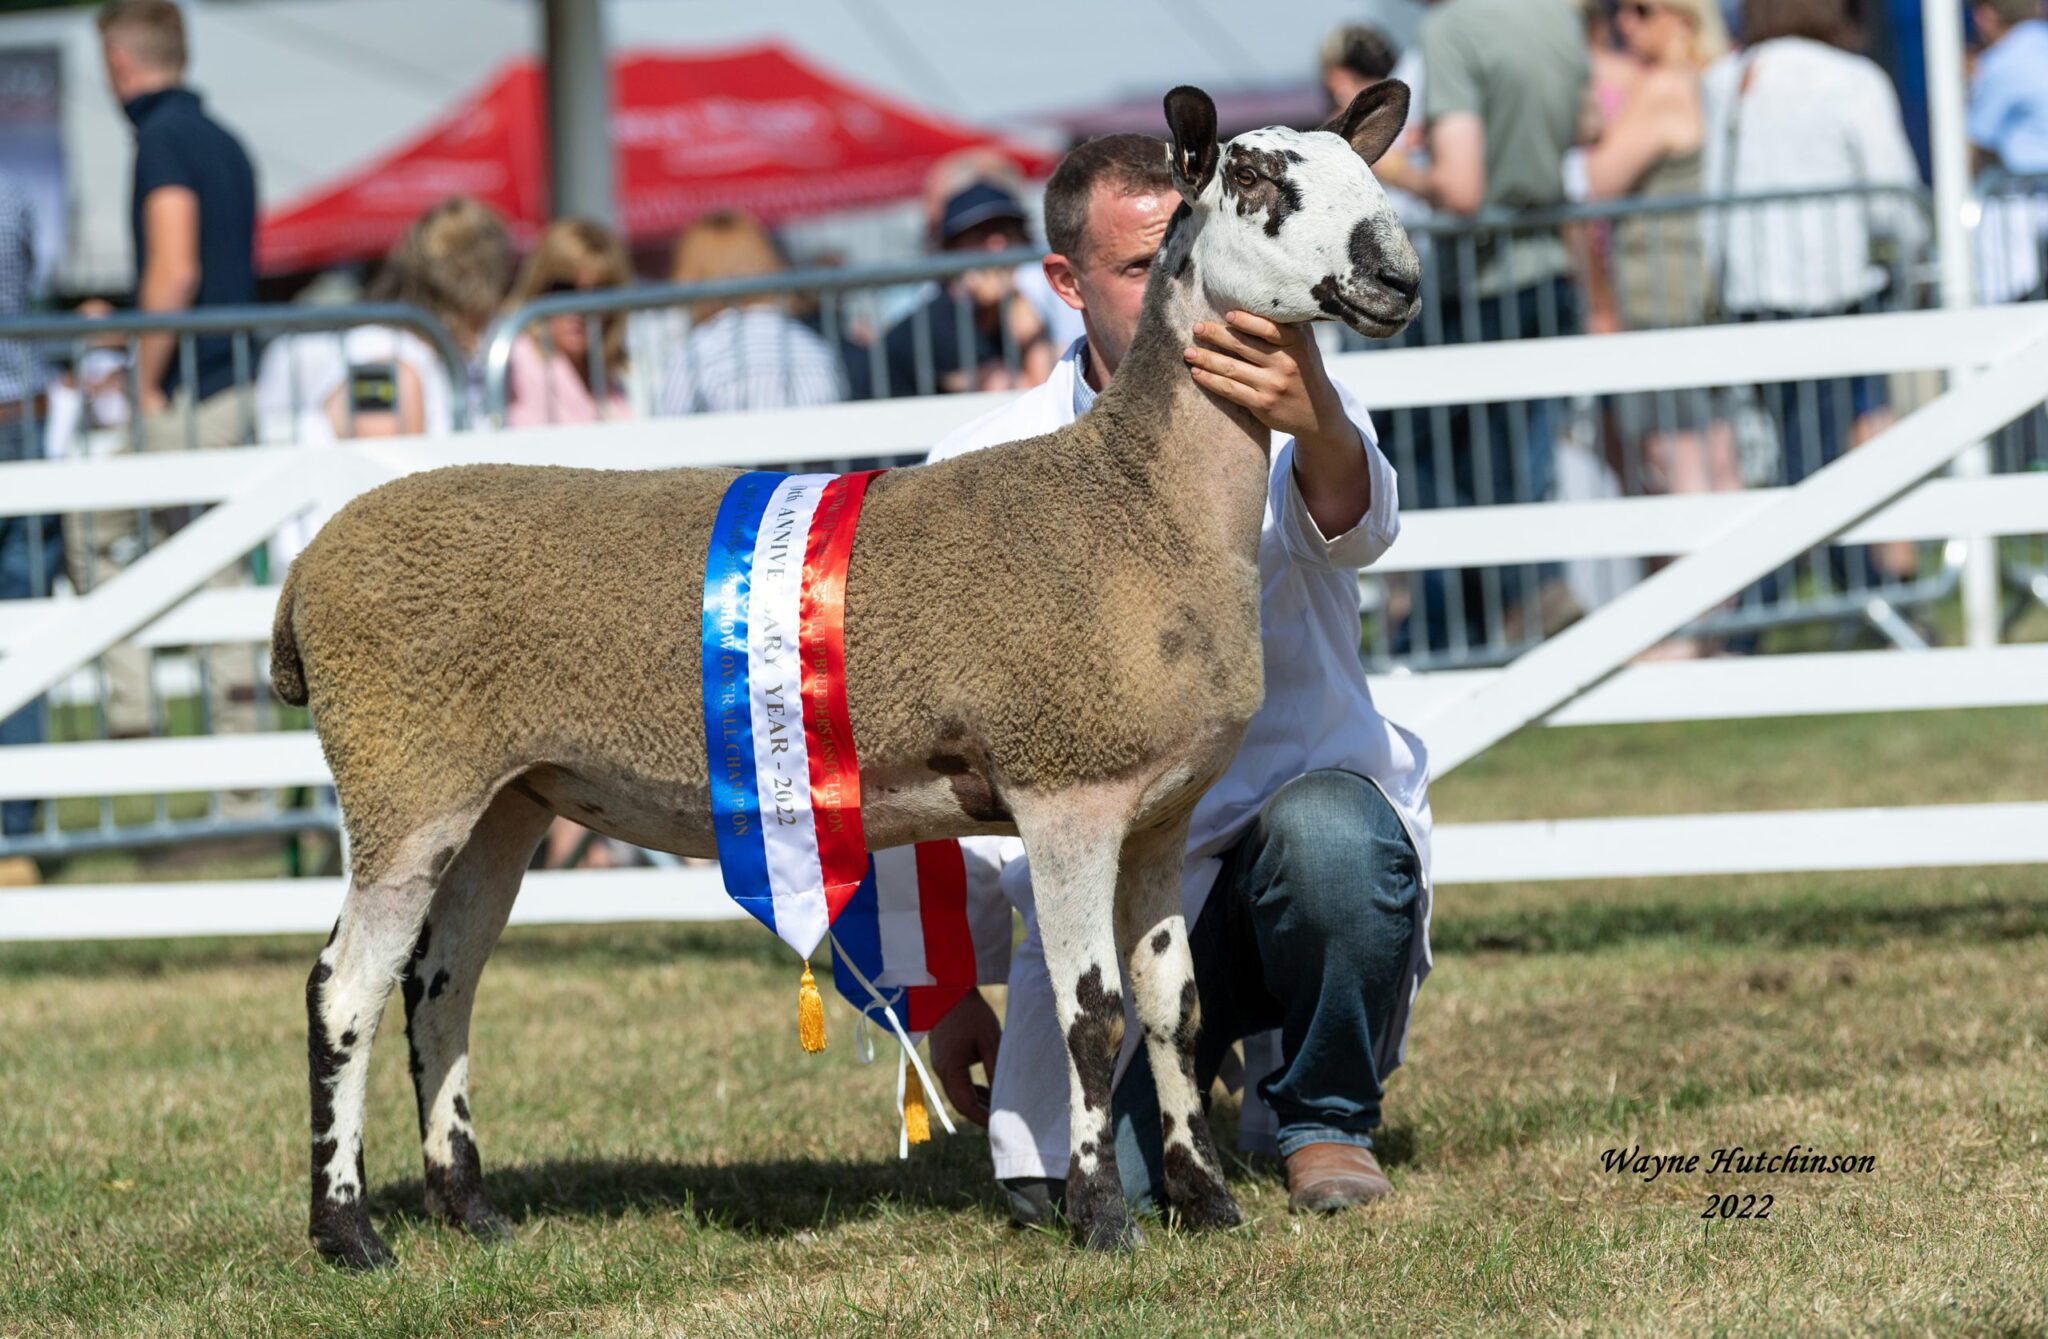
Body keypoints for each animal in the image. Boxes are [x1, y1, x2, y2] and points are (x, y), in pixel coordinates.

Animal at [284, 86, 1425, 1269]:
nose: (1397, 278)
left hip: (503, 796)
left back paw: (470, 1208)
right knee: (344, 990)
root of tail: (309, 569)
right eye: (1252, 179)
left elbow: (1172, 1007)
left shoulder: (1159, 811)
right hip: (403, 774)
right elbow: (1091, 1014)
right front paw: (1103, 1218)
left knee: (440, 984)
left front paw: (1205, 1200)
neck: (1137, 504)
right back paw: (348, 1230)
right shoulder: (1064, 786)